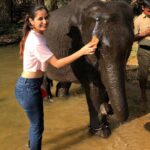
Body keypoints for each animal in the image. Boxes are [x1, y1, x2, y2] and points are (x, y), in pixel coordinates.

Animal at [44, 0, 134, 138]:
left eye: (129, 46)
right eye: (97, 48)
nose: (107, 108)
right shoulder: (77, 46)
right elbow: (93, 88)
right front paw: (101, 133)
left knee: (63, 84)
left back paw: (62, 97)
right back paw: (47, 100)